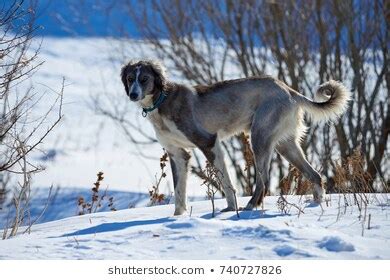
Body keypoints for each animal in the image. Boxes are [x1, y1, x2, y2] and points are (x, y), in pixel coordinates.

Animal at [120, 60, 352, 215]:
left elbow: (226, 182)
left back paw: (250, 206)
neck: (162, 100)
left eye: (144, 79)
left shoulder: (209, 142)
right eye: (130, 79)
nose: (132, 95)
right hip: (285, 145)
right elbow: (179, 192)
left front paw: (230, 209)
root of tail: (289, 90)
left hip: (259, 139)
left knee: (263, 180)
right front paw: (178, 218)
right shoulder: (178, 154)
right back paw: (317, 204)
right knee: (315, 175)